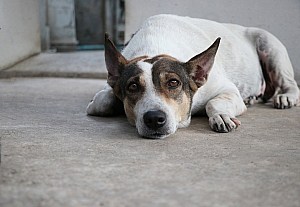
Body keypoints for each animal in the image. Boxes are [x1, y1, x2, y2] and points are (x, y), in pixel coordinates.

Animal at [85, 14, 298, 139]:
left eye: (173, 83)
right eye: (133, 87)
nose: (154, 119)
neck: (156, 46)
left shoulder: (226, 89)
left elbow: (214, 102)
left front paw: (221, 116)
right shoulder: (108, 89)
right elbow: (102, 101)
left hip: (270, 46)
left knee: (290, 83)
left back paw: (286, 97)